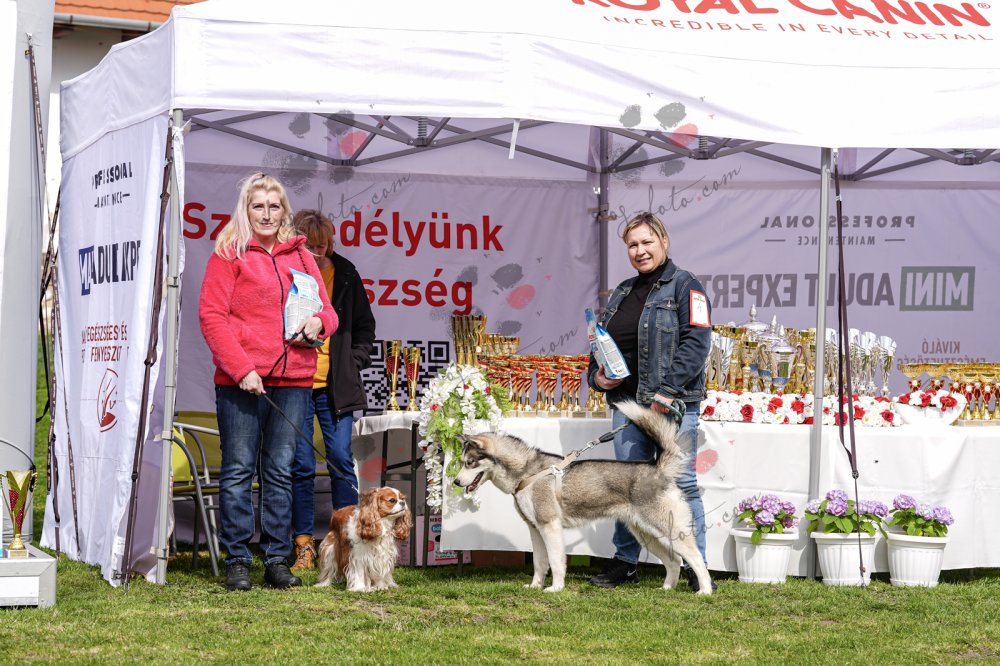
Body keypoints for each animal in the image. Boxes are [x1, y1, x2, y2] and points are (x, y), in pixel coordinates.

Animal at [453, 400, 712, 594]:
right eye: (462, 462)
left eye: (470, 462)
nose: (455, 482)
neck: (527, 472)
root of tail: (658, 469)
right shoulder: (535, 529)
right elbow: (539, 563)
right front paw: (536, 586)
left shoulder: (550, 527)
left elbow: (555, 562)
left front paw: (555, 589)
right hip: (646, 534)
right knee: (674, 561)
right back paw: (667, 588)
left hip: (669, 531)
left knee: (697, 559)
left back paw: (705, 591)